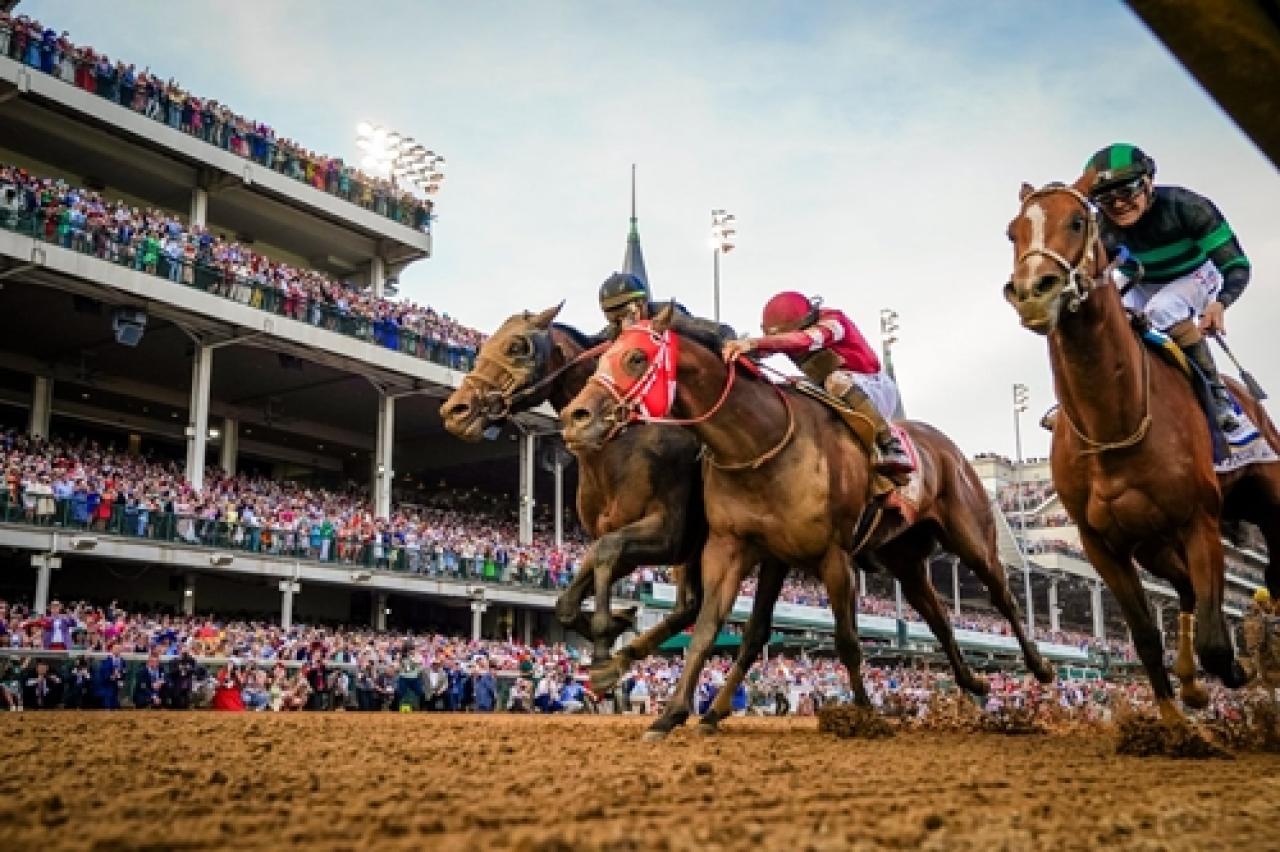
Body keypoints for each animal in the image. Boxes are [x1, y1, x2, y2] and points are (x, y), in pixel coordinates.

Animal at [435, 305, 706, 685]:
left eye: (517, 346)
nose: (455, 411)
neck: (623, 441)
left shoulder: (670, 534)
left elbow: (607, 557)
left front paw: (607, 637)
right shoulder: (612, 534)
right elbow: (571, 596)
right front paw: (613, 627)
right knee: (688, 607)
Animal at [560, 307, 1049, 736]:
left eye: (636, 357)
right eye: (601, 357)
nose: (574, 417)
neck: (758, 442)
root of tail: (949, 449)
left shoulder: (833, 556)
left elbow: (847, 641)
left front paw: (864, 715)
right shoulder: (731, 546)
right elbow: (707, 629)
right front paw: (669, 713)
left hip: (973, 535)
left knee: (1004, 596)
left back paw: (1040, 666)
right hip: (904, 559)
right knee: (939, 618)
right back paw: (973, 682)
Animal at [998, 177, 1259, 716]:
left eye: (1078, 221)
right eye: (1013, 231)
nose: (1032, 292)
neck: (1112, 422)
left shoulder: (1198, 520)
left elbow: (1217, 642)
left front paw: (1238, 669)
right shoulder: (1102, 544)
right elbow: (1144, 636)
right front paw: (1176, 715)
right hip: (1153, 546)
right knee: (1183, 591)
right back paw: (1192, 683)